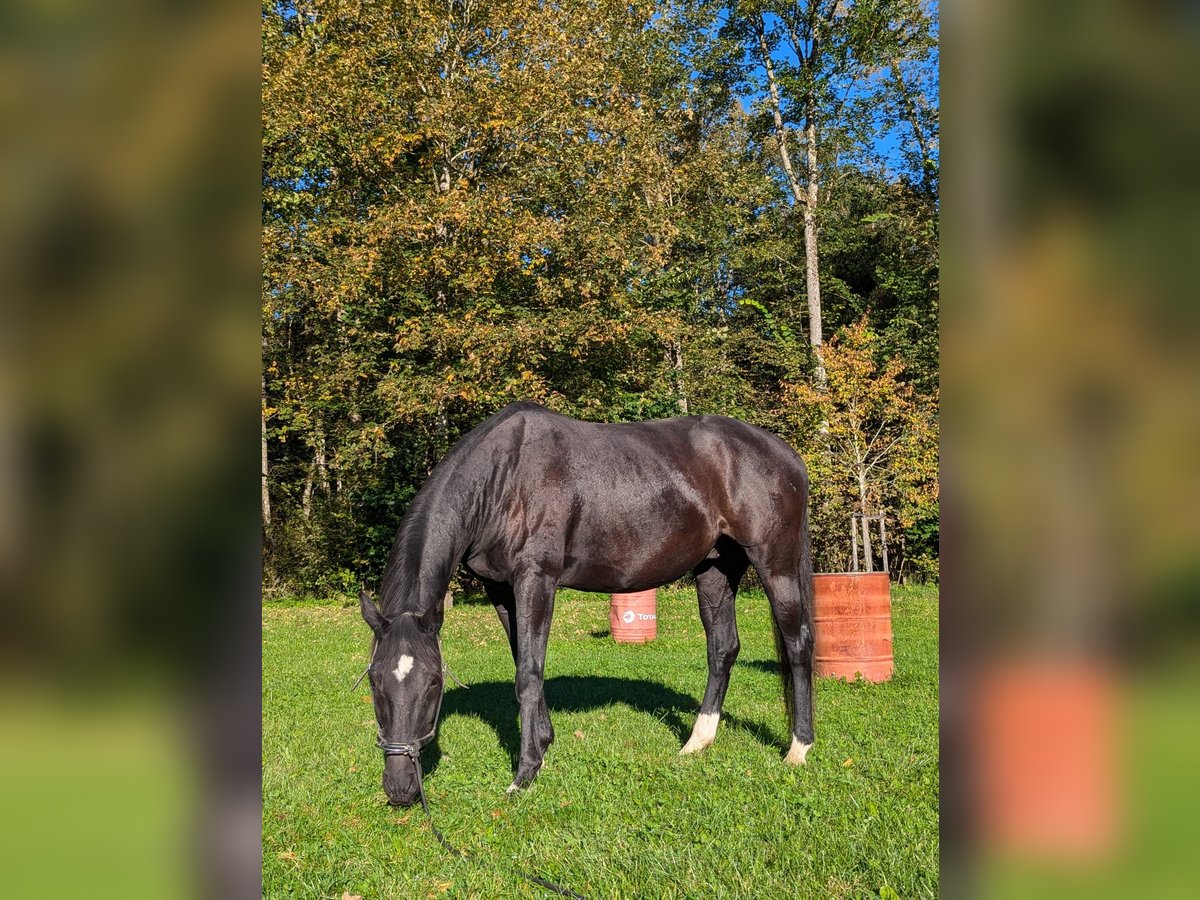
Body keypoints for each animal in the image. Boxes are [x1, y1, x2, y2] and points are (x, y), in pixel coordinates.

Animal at [357, 403, 816, 811]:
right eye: (375, 681)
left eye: (434, 682)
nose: (400, 788)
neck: (503, 476)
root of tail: (787, 456)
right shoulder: (500, 589)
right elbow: (524, 662)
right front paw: (544, 746)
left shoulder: (536, 580)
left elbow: (529, 674)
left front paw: (525, 773)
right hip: (716, 569)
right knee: (722, 648)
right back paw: (696, 742)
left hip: (775, 566)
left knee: (798, 644)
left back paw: (798, 748)